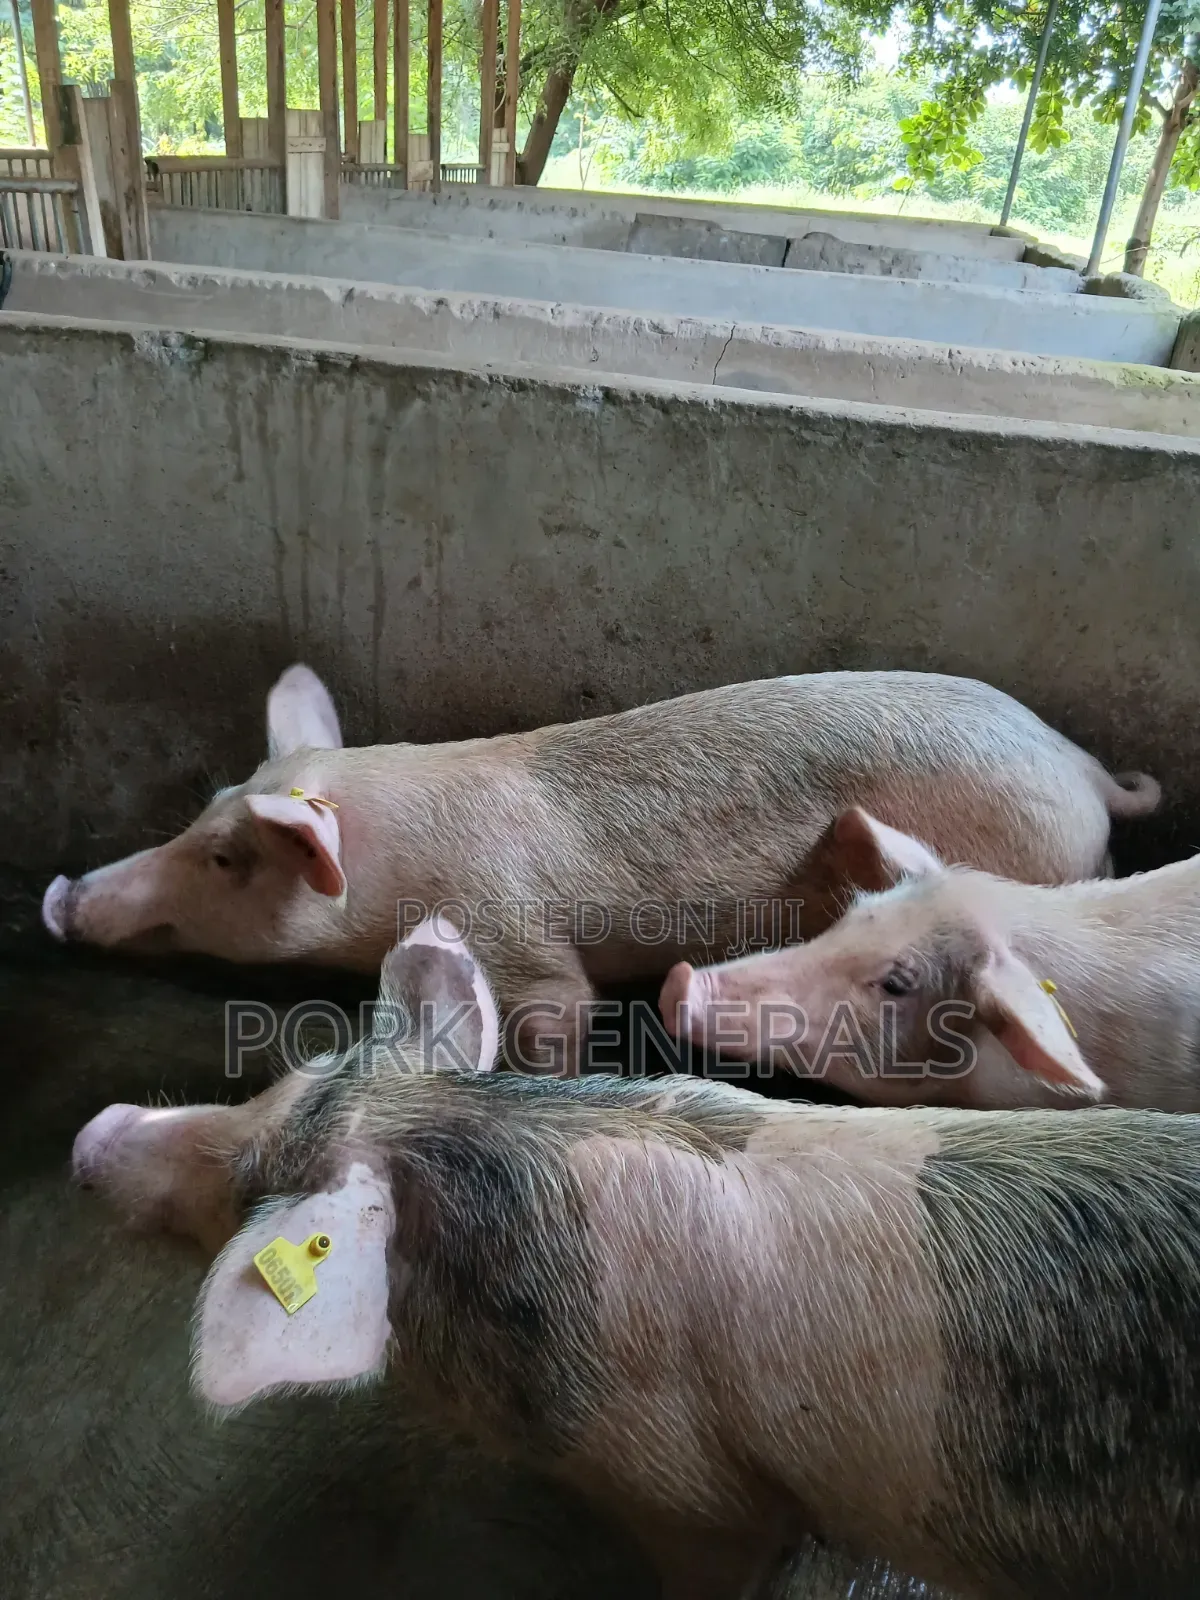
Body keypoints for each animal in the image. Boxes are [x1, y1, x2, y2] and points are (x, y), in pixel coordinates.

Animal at [44, 664, 1158, 1071]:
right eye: (202, 812)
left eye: (224, 855)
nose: (61, 894)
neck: (397, 865)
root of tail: (1086, 771)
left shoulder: (519, 933)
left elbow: (558, 1010)